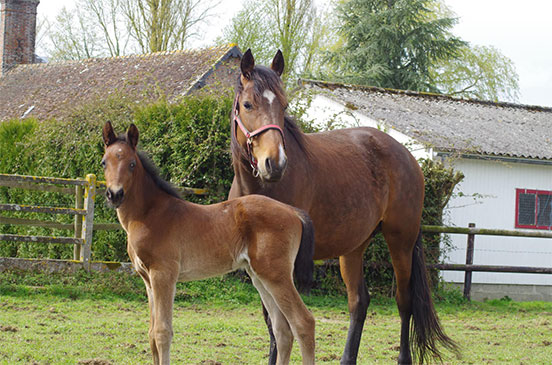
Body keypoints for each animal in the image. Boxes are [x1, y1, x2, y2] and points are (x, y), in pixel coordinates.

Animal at [100, 121, 314, 362]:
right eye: (104, 162)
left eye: (132, 164)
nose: (114, 194)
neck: (148, 214)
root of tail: (293, 211)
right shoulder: (147, 280)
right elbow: (151, 334)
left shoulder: (163, 274)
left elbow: (162, 332)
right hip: (260, 276)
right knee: (282, 329)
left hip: (276, 274)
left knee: (303, 323)